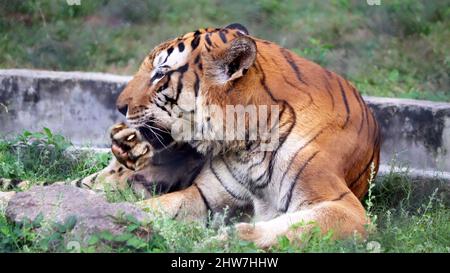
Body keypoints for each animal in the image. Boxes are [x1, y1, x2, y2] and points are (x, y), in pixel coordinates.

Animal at [0, 23, 380, 246]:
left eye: (159, 74)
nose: (118, 106)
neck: (247, 141)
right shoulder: (206, 195)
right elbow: (150, 209)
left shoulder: (342, 206)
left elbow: (279, 230)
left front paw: (218, 243)